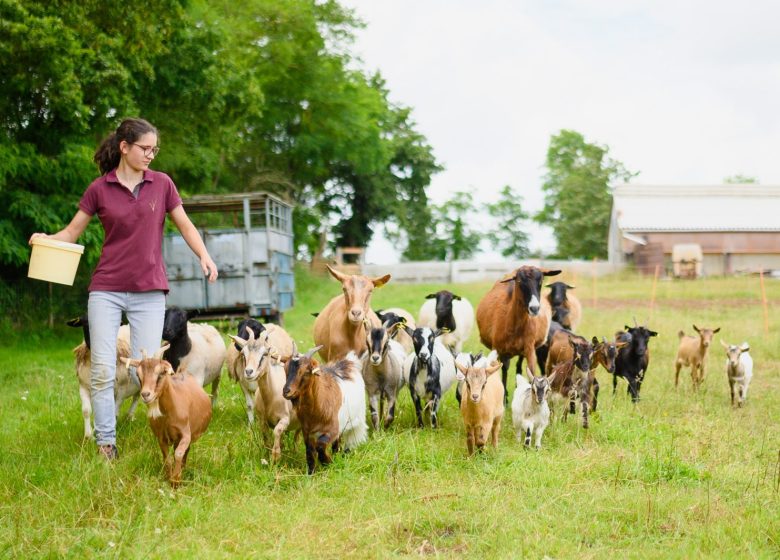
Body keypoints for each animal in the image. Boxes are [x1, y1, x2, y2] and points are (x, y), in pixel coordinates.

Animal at [123, 346, 212, 486]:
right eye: (138, 375)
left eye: (161, 373)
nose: (145, 394)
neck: (168, 417)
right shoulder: (161, 438)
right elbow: (167, 458)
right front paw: (169, 477)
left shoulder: (185, 433)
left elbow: (179, 453)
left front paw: (176, 480)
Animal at [476, 266, 560, 400]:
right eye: (520, 281)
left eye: (541, 281)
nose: (534, 308)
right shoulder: (498, 349)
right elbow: (501, 371)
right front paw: (503, 398)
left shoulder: (530, 348)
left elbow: (531, 372)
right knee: (506, 368)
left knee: (519, 366)